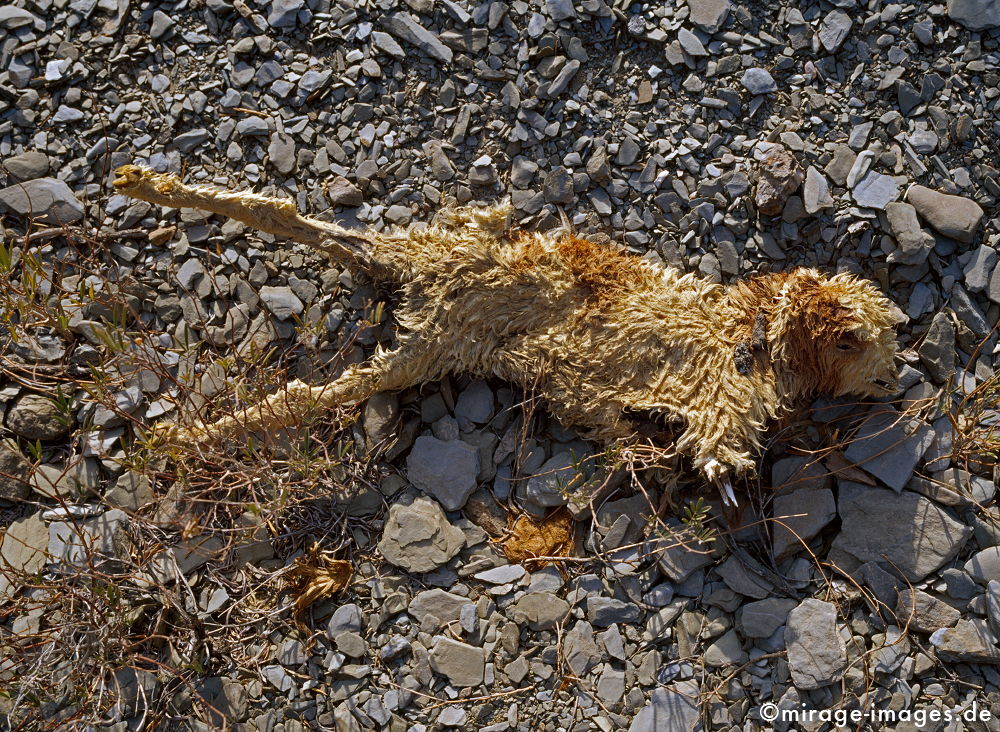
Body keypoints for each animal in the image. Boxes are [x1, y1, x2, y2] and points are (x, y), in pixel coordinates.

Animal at [112, 164, 902, 504]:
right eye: (877, 346)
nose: (900, 376)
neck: (752, 338)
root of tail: (429, 296)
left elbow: (624, 425)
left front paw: (641, 456)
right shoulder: (721, 399)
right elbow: (707, 446)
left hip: (422, 332)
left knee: (316, 260)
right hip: (442, 279)